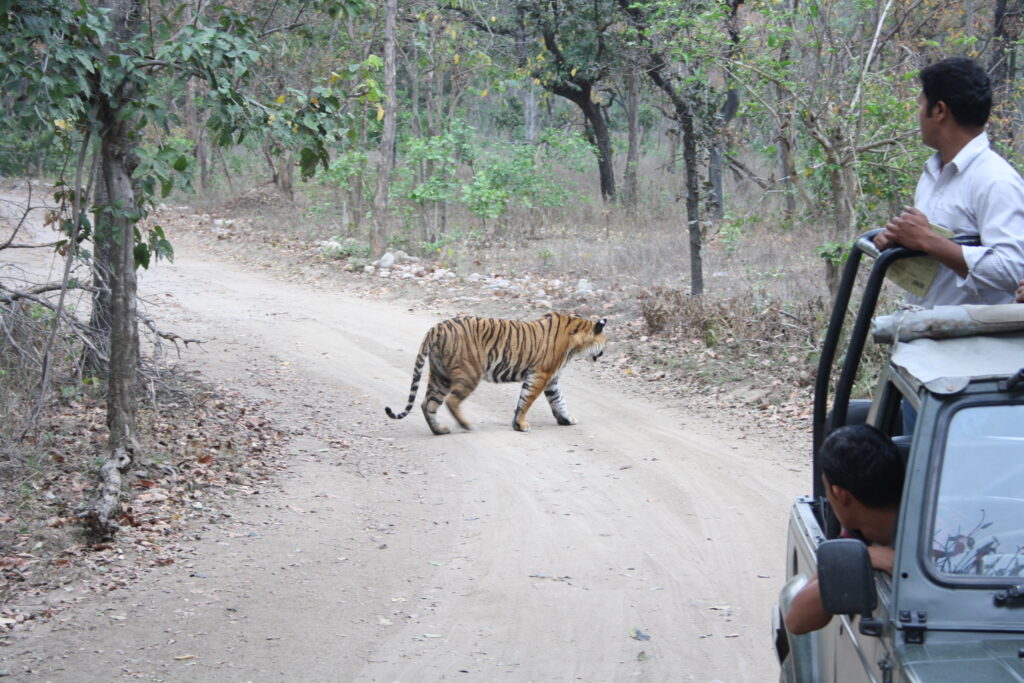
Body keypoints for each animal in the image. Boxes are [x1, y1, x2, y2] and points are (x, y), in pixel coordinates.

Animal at [385, 313, 606, 436]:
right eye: (604, 341)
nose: (604, 353)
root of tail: (437, 327)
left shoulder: (551, 379)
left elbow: (558, 400)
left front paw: (567, 419)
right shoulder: (541, 374)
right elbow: (527, 401)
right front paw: (521, 425)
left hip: (441, 376)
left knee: (428, 404)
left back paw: (440, 430)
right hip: (470, 373)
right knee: (452, 402)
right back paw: (466, 425)